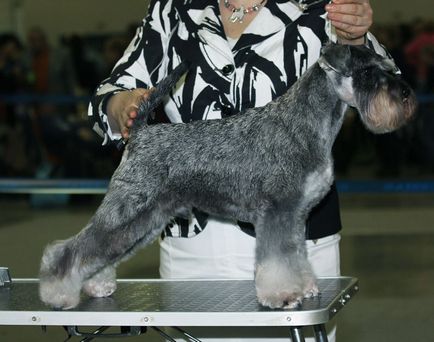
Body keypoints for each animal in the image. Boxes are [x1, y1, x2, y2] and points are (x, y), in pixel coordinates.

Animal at [40, 43, 418, 310]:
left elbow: (296, 254)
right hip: (127, 211)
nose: (405, 95)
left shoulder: (295, 216)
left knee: (100, 251)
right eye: (367, 72)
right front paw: (283, 294)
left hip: (144, 221)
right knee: (73, 248)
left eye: (387, 68)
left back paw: (96, 284)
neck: (306, 124)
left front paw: (307, 286)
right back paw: (57, 291)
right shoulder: (277, 211)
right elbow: (277, 259)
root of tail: (141, 133)